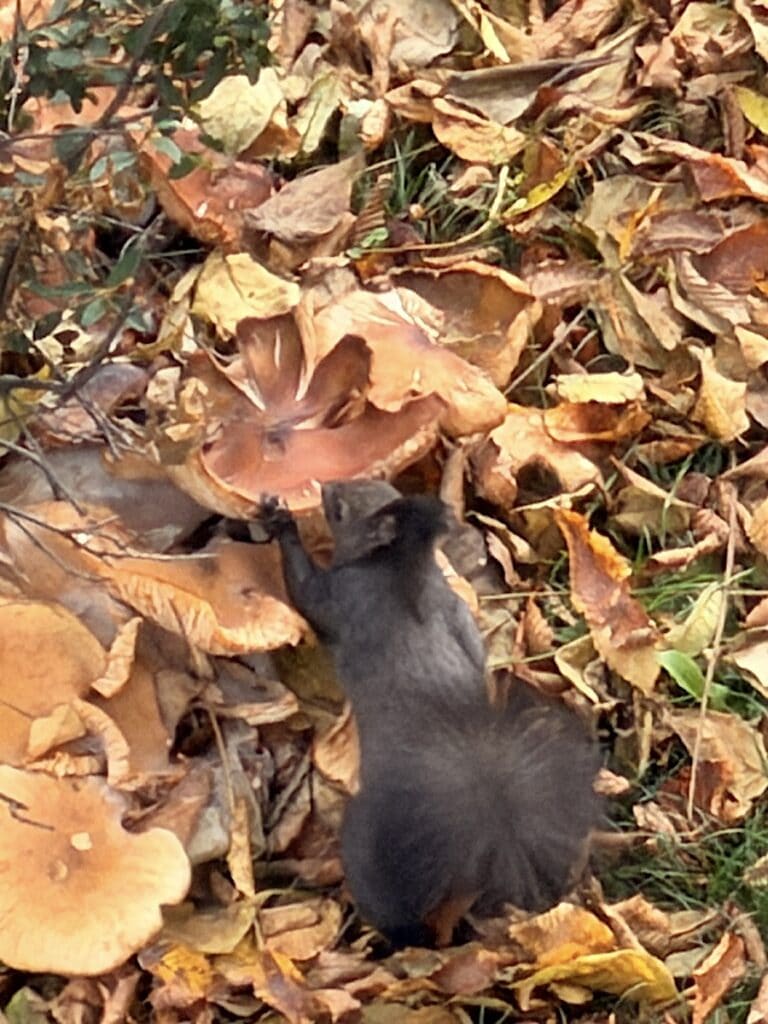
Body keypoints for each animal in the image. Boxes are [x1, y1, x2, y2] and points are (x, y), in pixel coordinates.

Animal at [261, 482, 600, 946]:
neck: (398, 564)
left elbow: (305, 591)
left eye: (341, 510)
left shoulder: (341, 593)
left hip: (372, 857)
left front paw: (281, 523)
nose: (327, 487)